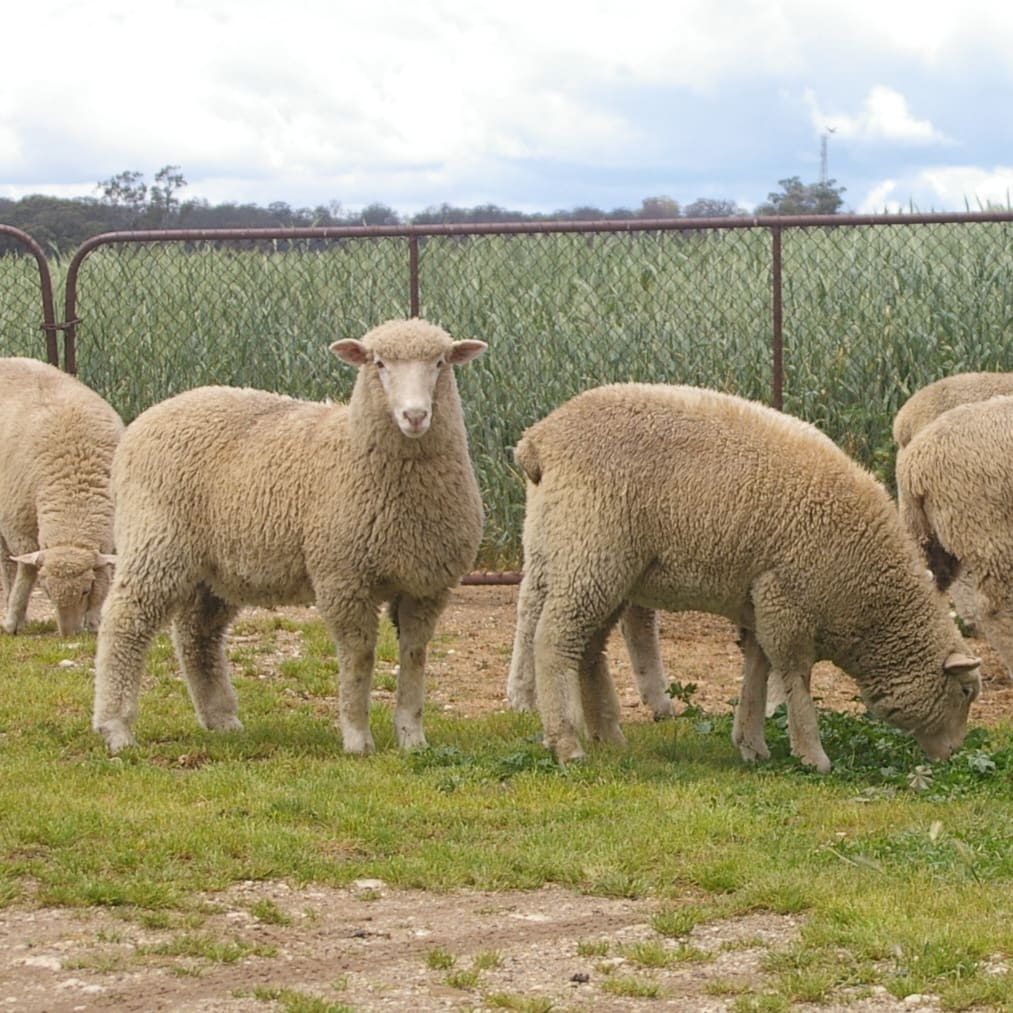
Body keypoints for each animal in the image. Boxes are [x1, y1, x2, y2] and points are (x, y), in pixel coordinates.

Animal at [0, 356, 121, 632]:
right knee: (8, 565)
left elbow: (105, 578)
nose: (68, 634)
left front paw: (94, 620)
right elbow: (25, 575)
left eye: (86, 590)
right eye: (46, 590)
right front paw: (13, 621)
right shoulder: (18, 529)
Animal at [94, 320, 486, 757]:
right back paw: (116, 727)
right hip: (156, 541)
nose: (415, 415)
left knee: (197, 634)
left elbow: (415, 656)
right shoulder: (342, 578)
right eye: (379, 363)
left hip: (214, 568)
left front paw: (412, 738)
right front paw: (357, 738)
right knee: (126, 622)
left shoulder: (426, 585)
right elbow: (359, 656)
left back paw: (220, 718)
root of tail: (150, 415)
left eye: (440, 363)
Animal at [506, 382, 980, 769]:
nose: (954, 755)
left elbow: (757, 670)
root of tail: (538, 439)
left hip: (588, 561)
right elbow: (794, 676)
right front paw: (812, 754)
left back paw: (609, 735)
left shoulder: (760, 602)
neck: (871, 600)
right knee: (553, 641)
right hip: (589, 552)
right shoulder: (785, 600)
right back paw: (567, 743)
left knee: (589, 648)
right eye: (965, 693)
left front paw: (751, 743)